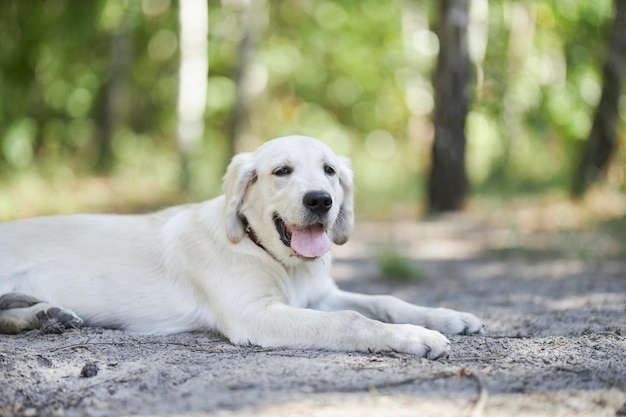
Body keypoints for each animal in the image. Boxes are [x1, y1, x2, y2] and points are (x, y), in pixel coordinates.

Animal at [0, 136, 482, 358]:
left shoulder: (318, 295)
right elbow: (351, 319)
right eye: (281, 171)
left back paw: (47, 315)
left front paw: (444, 316)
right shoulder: (254, 315)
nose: (320, 201)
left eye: (329, 170)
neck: (274, 256)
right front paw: (416, 336)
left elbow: (384, 299)